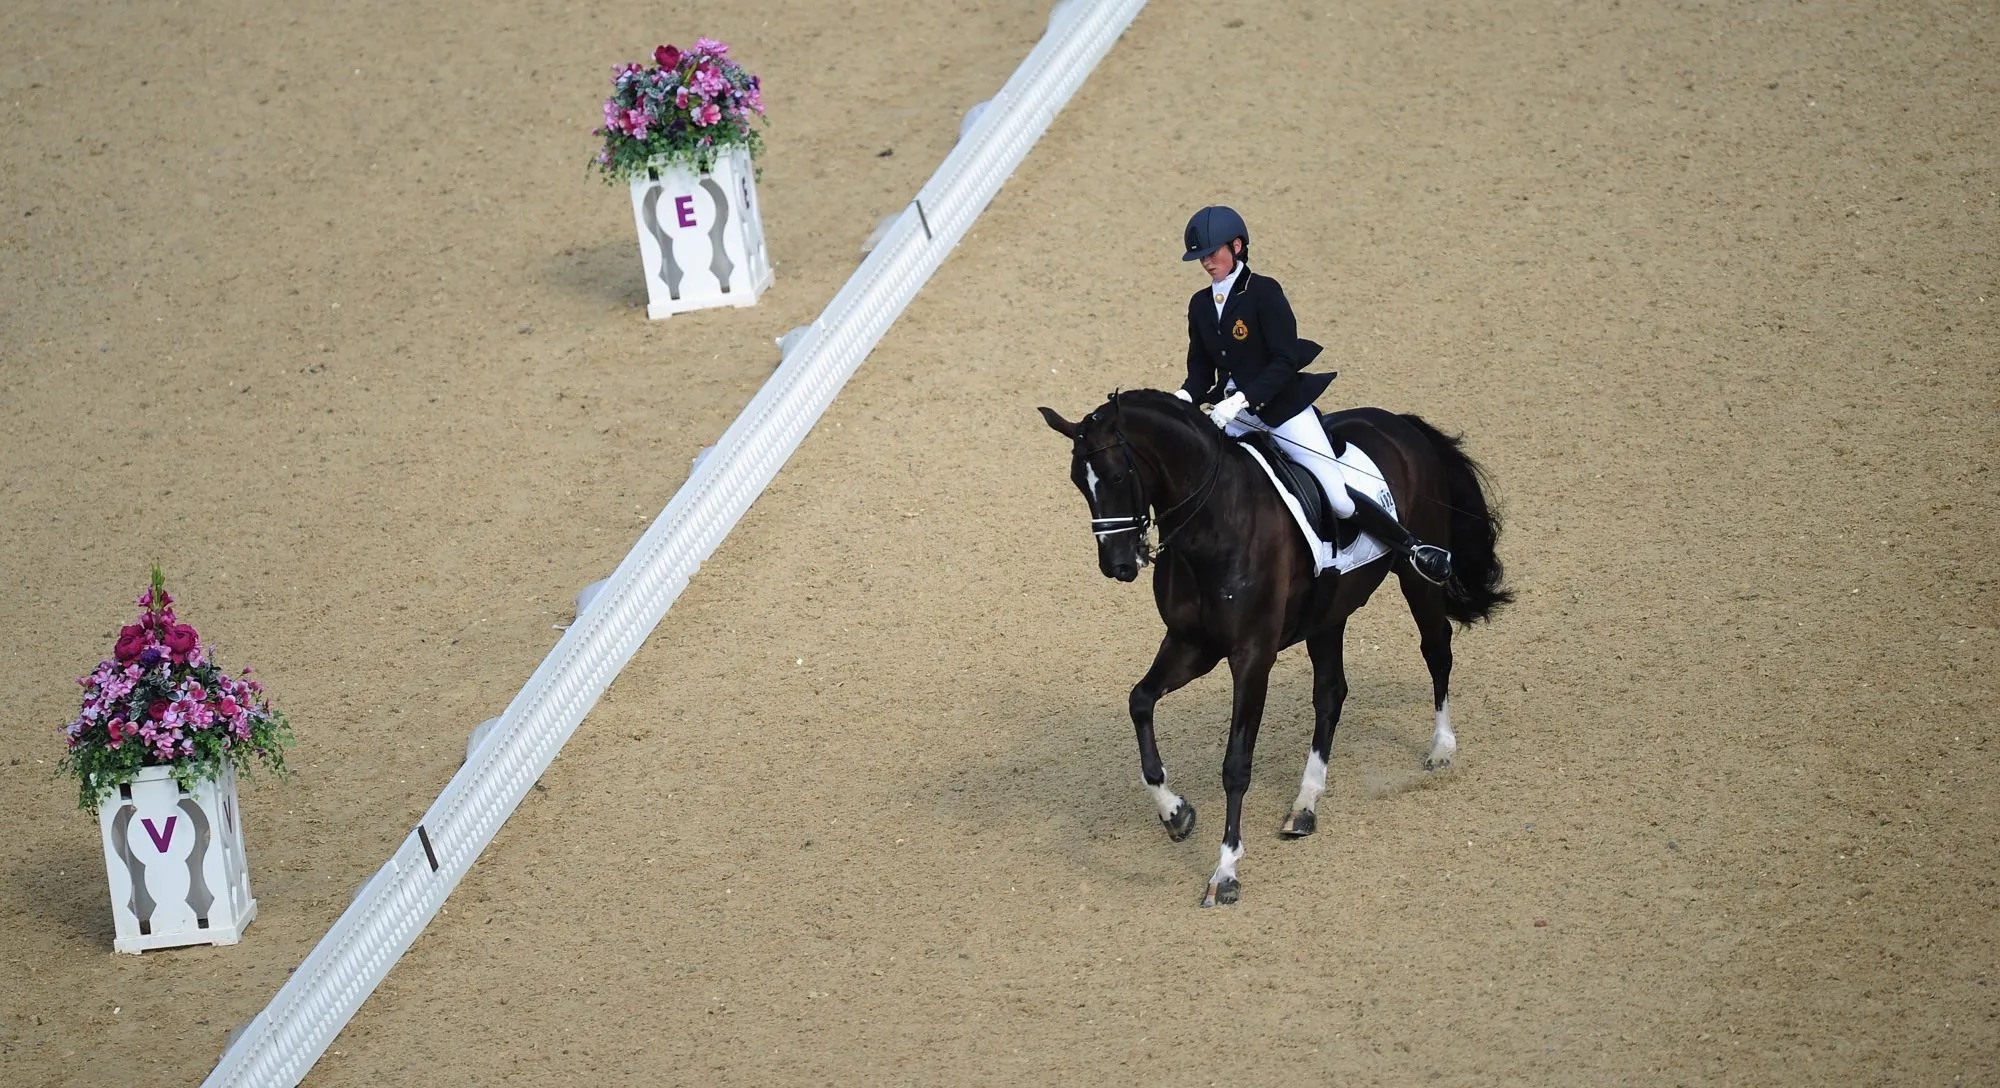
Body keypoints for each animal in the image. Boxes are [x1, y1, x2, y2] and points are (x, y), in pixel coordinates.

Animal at [1040, 392, 1504, 908]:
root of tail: (1398, 422)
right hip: (1328, 614)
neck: (1212, 525)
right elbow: (1140, 701)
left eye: (1118, 476)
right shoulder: (1191, 645)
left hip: (1417, 578)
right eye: (1078, 482)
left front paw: (1225, 871)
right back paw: (1305, 803)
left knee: (1436, 649)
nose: (1118, 565)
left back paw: (1441, 748)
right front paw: (1175, 813)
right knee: (1331, 694)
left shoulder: (1252, 656)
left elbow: (1236, 764)